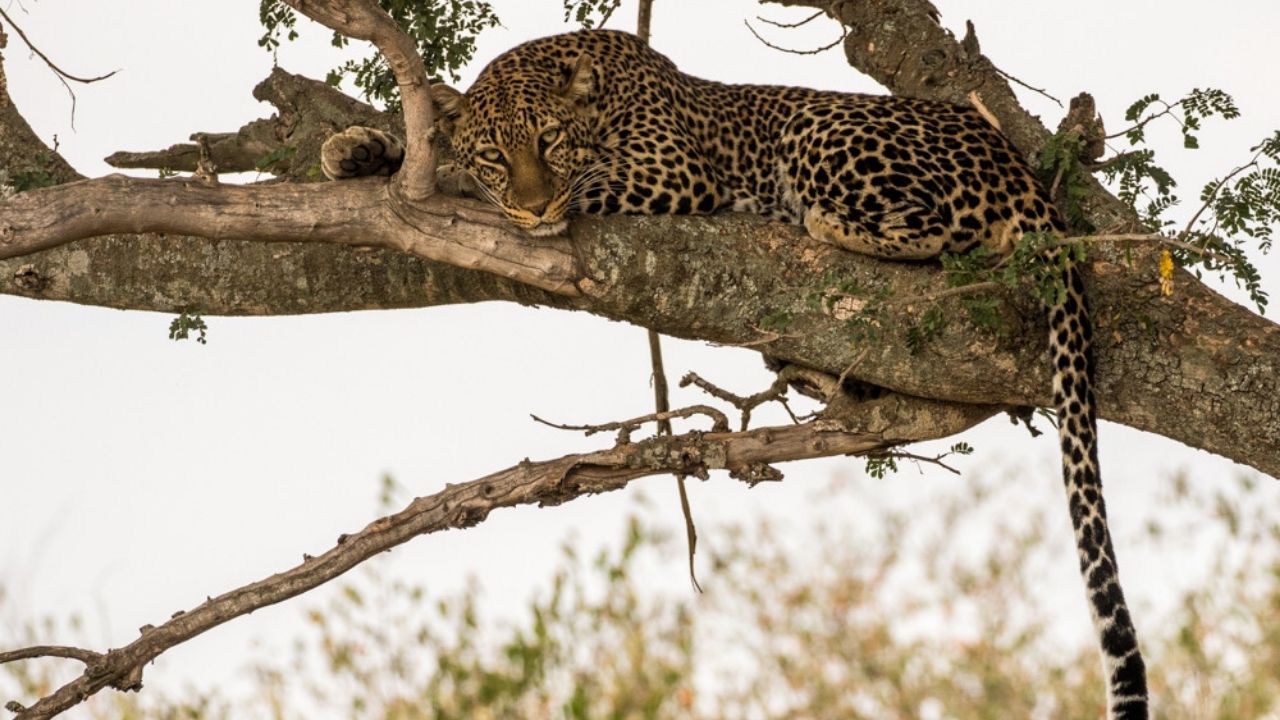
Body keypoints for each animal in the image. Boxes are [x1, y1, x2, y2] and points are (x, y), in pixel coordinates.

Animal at [323, 29, 1149, 719]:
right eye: (498, 153)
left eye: (549, 142)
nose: (533, 206)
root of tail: (1023, 173)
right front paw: (361, 147)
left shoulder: (671, 169)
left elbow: (530, 182)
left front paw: (450, 180)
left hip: (826, 131)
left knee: (939, 231)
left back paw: (816, 223)